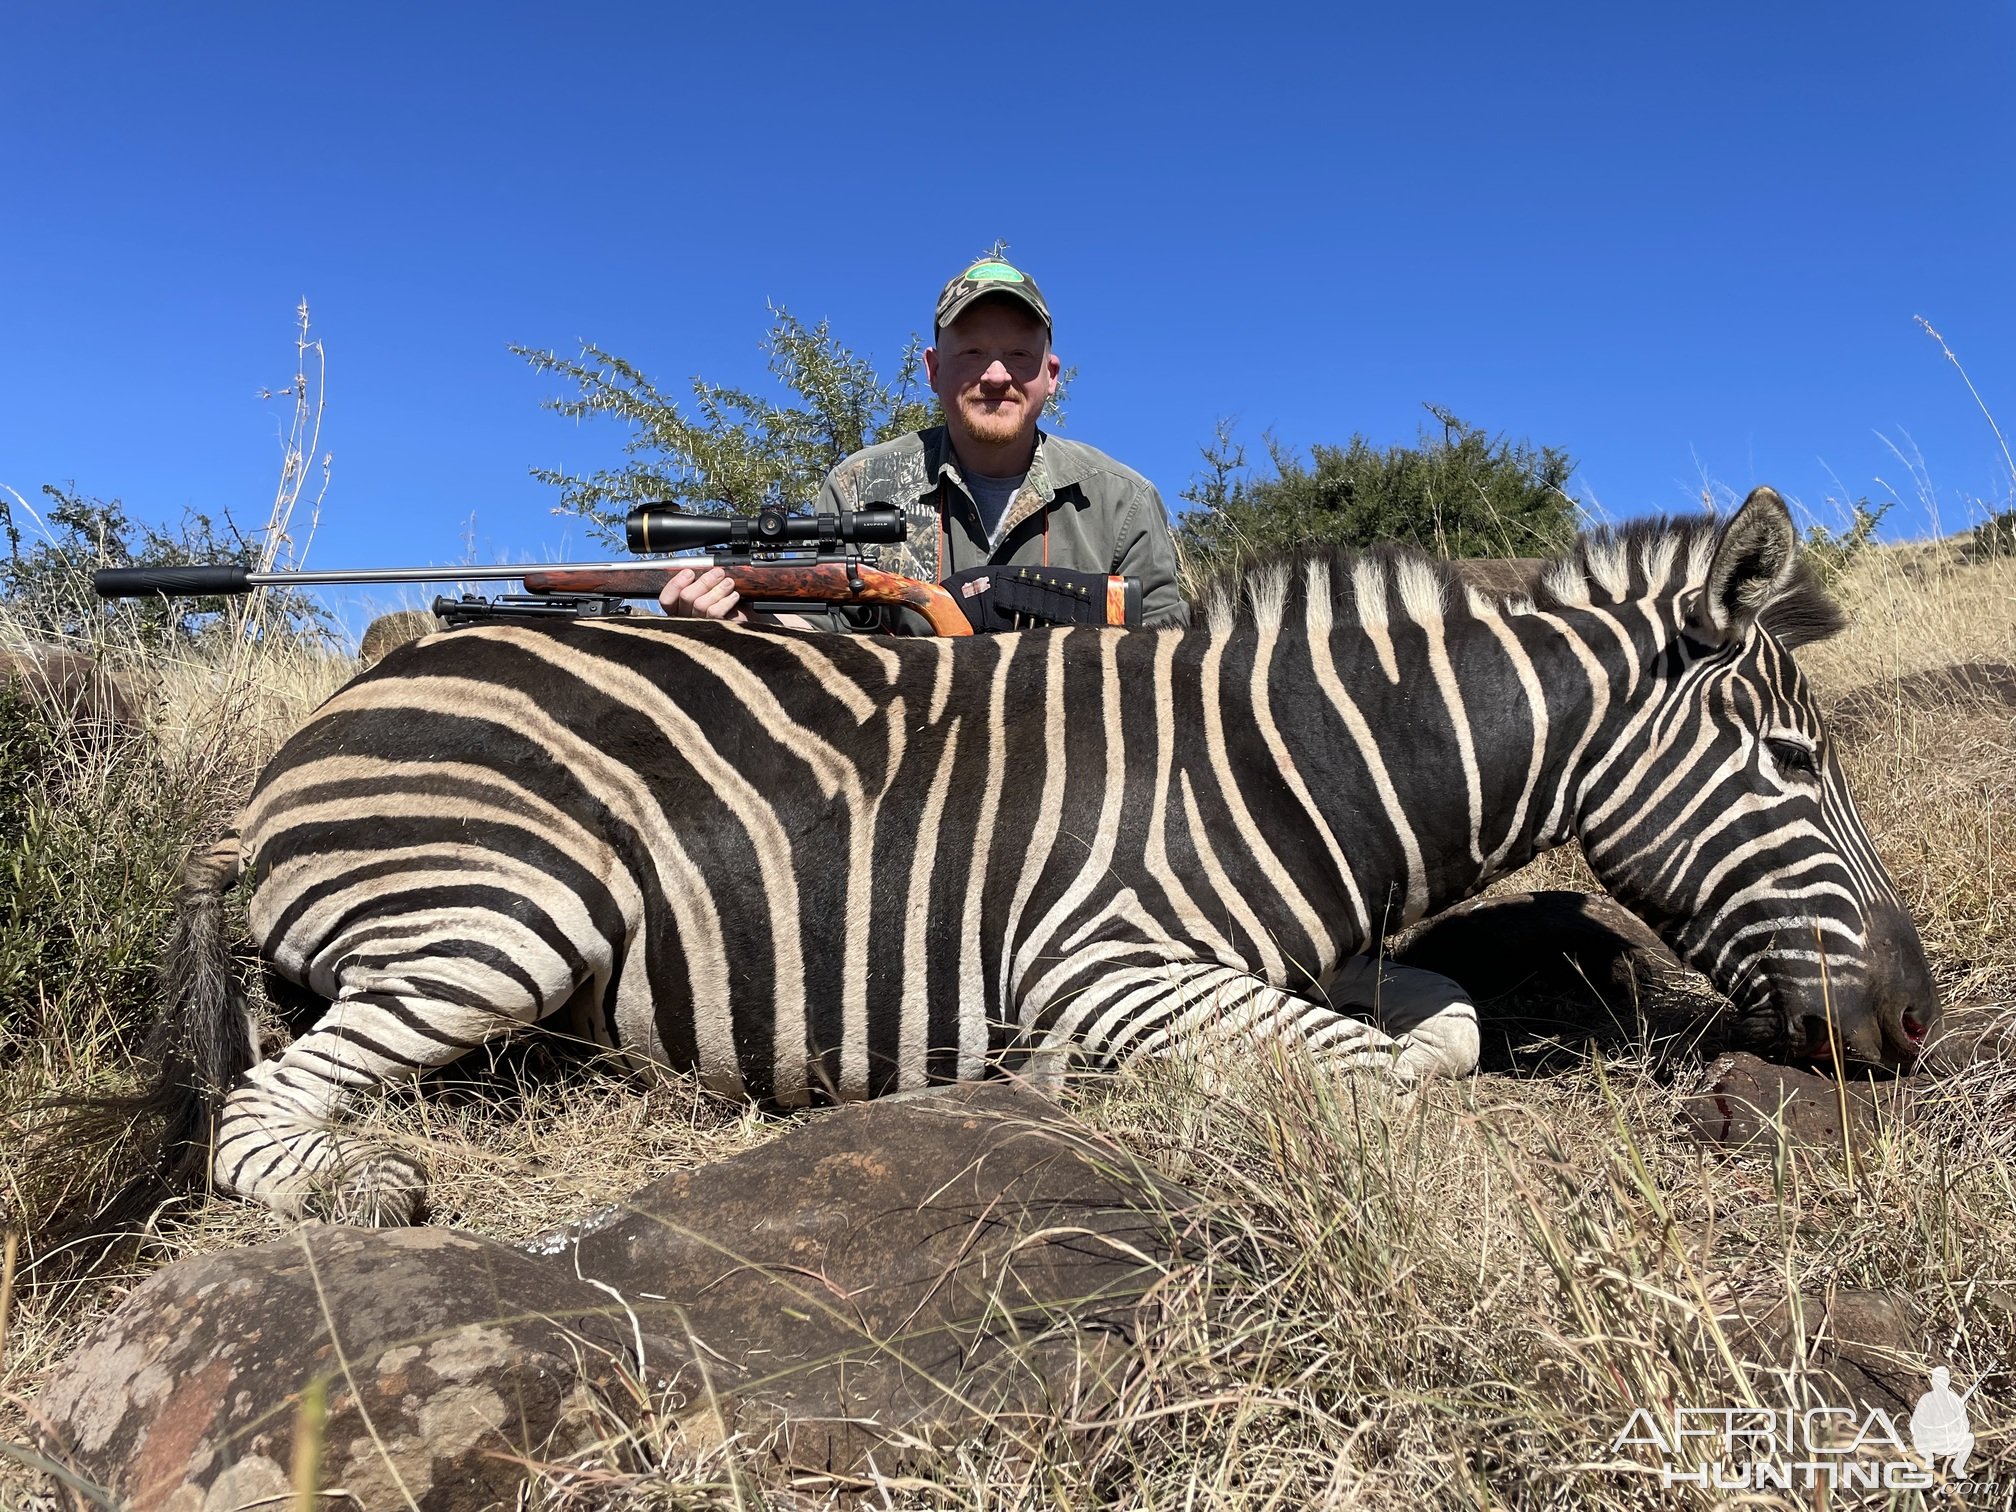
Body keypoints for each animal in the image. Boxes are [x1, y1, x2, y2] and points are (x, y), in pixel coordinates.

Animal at [55, 485, 1927, 1233]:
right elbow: (1378, 1073)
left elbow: (1443, 1025)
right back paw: (370, 1183)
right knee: (259, 1115)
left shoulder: (1333, 952)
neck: (1291, 771)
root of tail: (306, 739)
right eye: (1796, 762)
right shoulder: (1096, 963)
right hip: (514, 912)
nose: (1913, 1020)